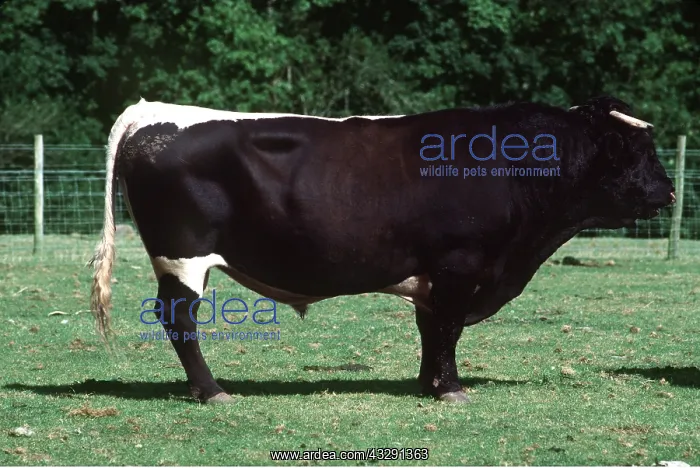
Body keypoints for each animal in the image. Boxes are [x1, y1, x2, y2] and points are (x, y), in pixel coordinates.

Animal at [89, 95, 675, 404]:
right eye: (638, 150)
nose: (669, 191)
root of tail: (150, 110)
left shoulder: (435, 273)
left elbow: (432, 328)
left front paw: (428, 383)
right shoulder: (460, 263)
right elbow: (449, 327)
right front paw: (451, 389)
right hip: (182, 257)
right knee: (179, 319)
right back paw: (212, 390)